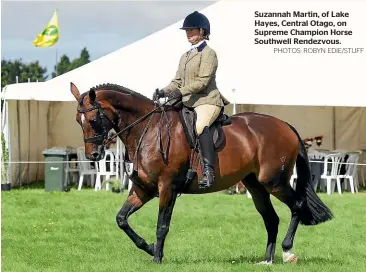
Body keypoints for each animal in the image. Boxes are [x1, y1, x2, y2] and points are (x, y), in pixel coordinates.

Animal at [70, 83, 334, 266]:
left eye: (92, 119)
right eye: (77, 121)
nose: (93, 155)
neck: (148, 130)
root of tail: (284, 125)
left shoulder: (167, 188)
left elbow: (162, 224)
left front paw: (157, 257)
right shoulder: (143, 189)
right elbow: (121, 219)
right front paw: (149, 248)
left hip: (274, 182)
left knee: (296, 205)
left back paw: (287, 251)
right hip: (255, 185)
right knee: (271, 218)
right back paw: (267, 260)